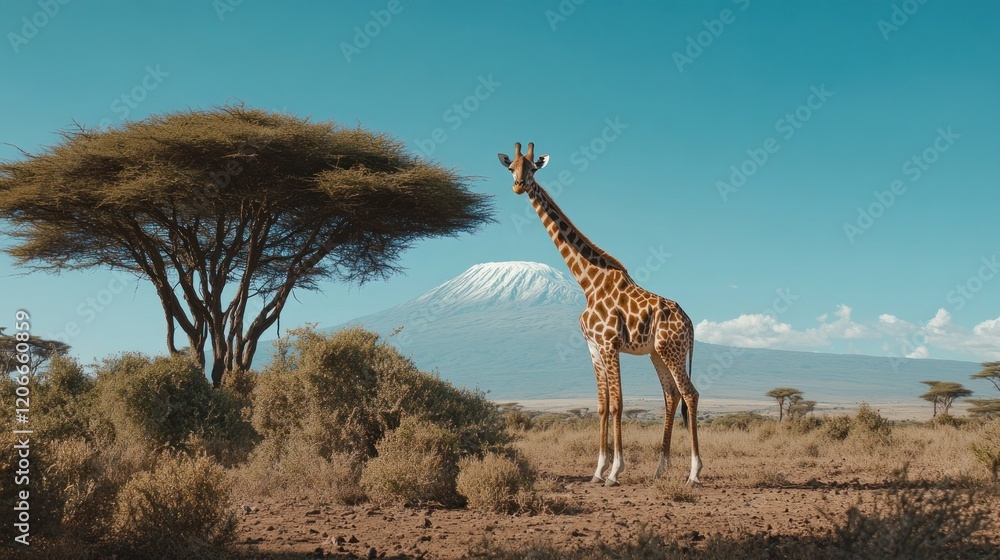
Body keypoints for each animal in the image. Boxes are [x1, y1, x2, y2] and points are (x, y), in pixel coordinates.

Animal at [498, 142, 702, 487]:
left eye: (534, 168)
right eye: (511, 167)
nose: (518, 186)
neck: (588, 282)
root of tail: (689, 322)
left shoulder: (608, 344)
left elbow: (618, 404)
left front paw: (615, 472)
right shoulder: (592, 347)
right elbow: (603, 406)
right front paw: (598, 471)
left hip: (672, 349)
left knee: (690, 394)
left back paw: (694, 473)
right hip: (657, 352)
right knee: (671, 396)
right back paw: (658, 470)